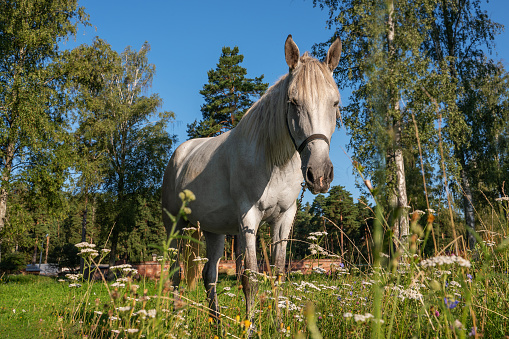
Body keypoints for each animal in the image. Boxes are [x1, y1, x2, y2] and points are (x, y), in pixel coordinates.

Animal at [161, 35, 340, 322]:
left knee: (209, 275)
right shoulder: (248, 219)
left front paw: (278, 324)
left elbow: (277, 275)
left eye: (334, 103)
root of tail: (180, 154)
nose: (319, 175)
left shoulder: (283, 219)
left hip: (214, 231)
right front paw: (250, 325)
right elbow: (251, 279)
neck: (272, 161)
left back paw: (217, 324)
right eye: (293, 102)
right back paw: (174, 320)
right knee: (176, 273)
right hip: (174, 226)